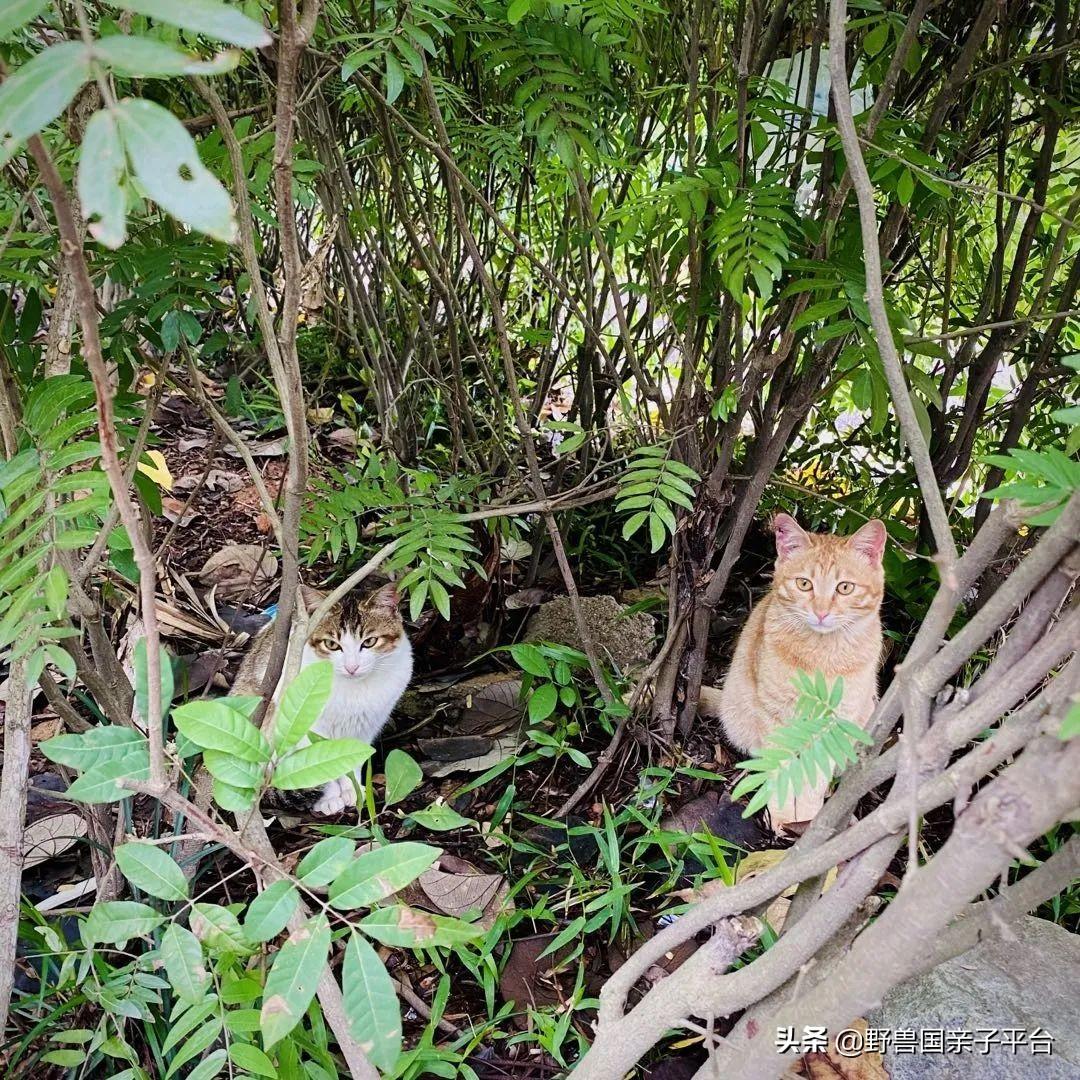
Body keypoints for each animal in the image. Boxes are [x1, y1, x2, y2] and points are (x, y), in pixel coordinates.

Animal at [233, 583, 412, 812]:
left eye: (369, 642)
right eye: (331, 644)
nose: (352, 667)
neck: (353, 690)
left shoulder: (367, 725)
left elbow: (353, 757)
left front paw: (353, 788)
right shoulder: (307, 726)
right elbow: (316, 761)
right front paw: (329, 797)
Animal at [699, 514, 885, 825]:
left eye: (845, 588)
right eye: (804, 584)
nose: (821, 613)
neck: (820, 656)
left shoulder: (833, 723)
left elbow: (814, 777)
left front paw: (805, 820)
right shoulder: (775, 715)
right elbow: (782, 770)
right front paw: (786, 818)